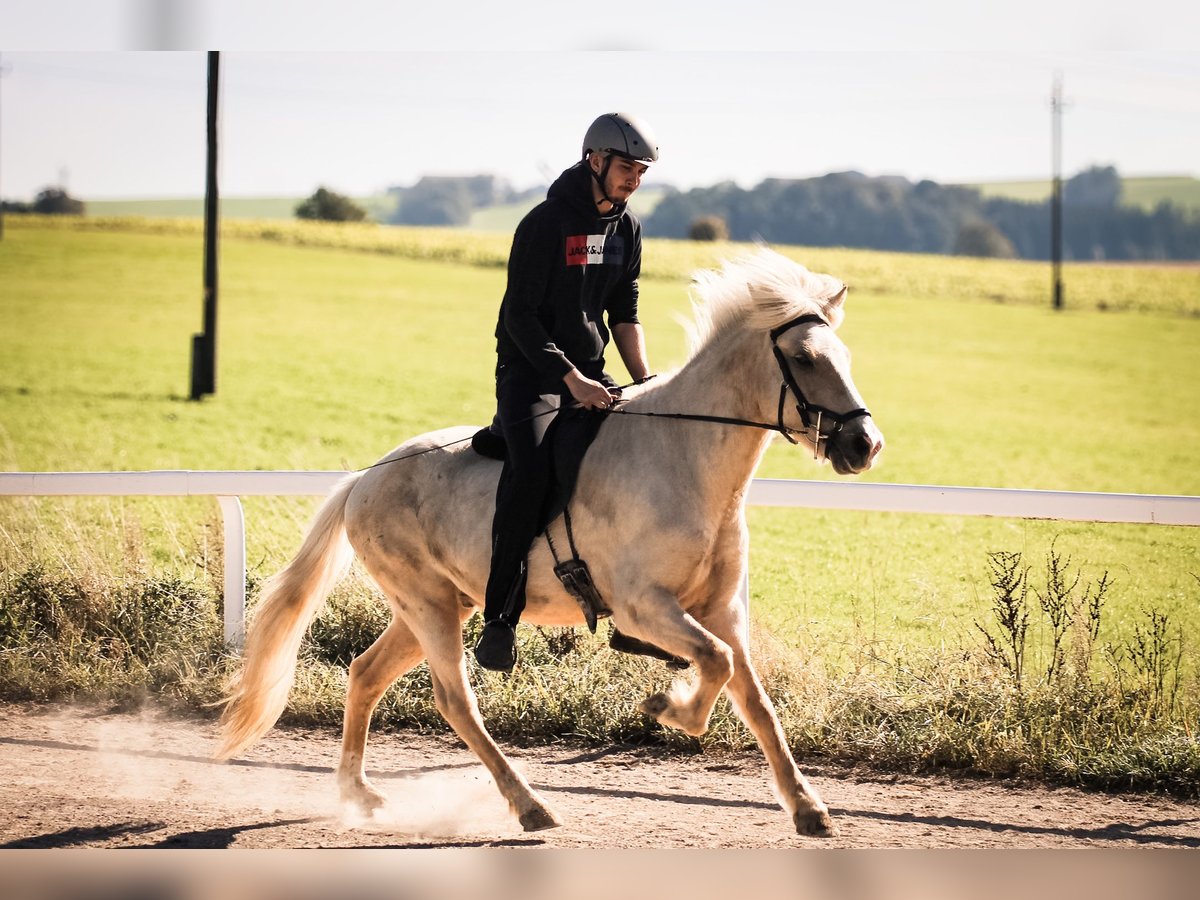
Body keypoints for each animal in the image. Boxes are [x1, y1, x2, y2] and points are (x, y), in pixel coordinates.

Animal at [220, 247, 888, 840]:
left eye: (846, 356)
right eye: (805, 359)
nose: (865, 445)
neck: (686, 459)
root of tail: (364, 479)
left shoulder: (721, 610)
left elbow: (753, 699)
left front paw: (808, 808)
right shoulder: (645, 608)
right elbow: (717, 665)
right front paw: (666, 707)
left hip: (439, 605)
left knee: (364, 674)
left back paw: (359, 794)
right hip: (430, 607)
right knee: (455, 700)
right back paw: (530, 805)